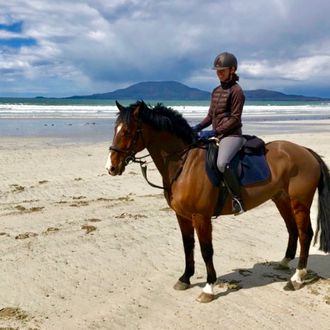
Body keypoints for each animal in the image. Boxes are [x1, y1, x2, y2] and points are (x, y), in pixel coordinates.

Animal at [105, 101, 330, 304]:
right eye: (115, 130)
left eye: (127, 132)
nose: (111, 167)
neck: (184, 164)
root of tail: (305, 151)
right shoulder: (182, 216)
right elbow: (188, 246)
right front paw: (185, 278)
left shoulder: (201, 217)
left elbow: (206, 250)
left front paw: (208, 288)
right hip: (281, 199)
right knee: (292, 229)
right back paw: (284, 263)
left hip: (299, 203)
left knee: (305, 234)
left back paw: (297, 278)